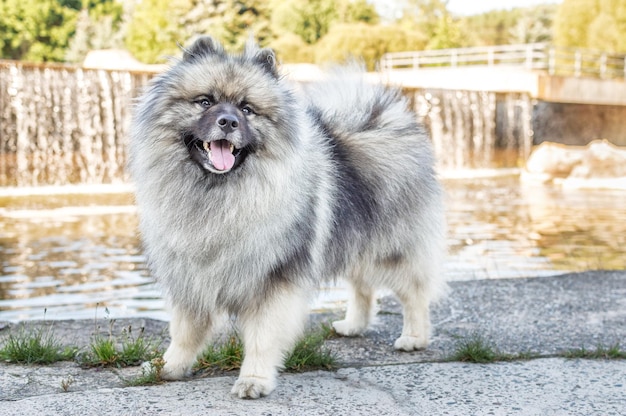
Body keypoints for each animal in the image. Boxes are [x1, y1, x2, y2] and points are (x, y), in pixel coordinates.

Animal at [128, 36, 444, 400]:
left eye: (247, 109)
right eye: (205, 101)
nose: (228, 122)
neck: (219, 194)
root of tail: (383, 119)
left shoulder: (274, 279)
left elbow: (262, 337)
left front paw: (254, 380)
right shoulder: (191, 276)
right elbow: (183, 331)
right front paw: (168, 367)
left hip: (392, 250)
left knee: (414, 293)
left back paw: (414, 338)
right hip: (355, 242)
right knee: (362, 287)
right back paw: (353, 326)